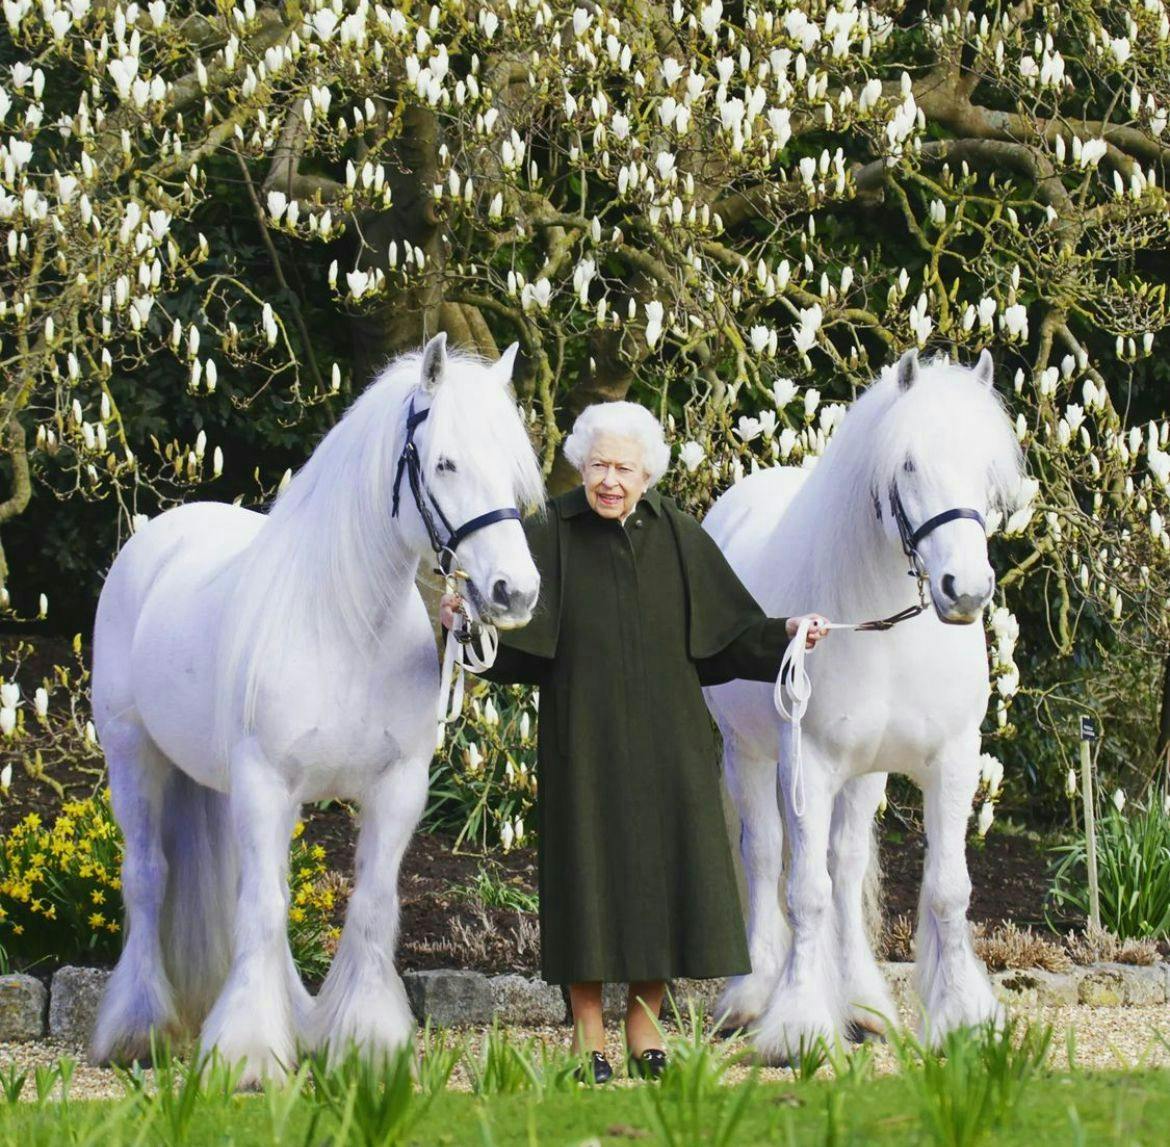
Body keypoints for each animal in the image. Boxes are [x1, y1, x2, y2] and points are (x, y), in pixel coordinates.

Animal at [88, 334, 540, 1086]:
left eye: (511, 468)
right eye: (444, 462)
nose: (516, 591)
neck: (346, 625)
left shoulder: (396, 788)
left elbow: (370, 906)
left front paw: (366, 1043)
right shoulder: (266, 782)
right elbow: (263, 909)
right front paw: (246, 1054)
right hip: (133, 755)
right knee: (148, 878)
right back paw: (138, 1029)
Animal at [702, 346, 1024, 1058]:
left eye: (986, 469)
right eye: (907, 464)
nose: (966, 589)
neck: (886, 630)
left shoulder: (953, 761)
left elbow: (946, 890)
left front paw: (964, 1017)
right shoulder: (809, 765)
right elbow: (804, 892)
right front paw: (796, 1025)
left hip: (865, 774)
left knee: (845, 866)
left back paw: (862, 1004)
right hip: (749, 756)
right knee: (764, 855)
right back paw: (753, 994)